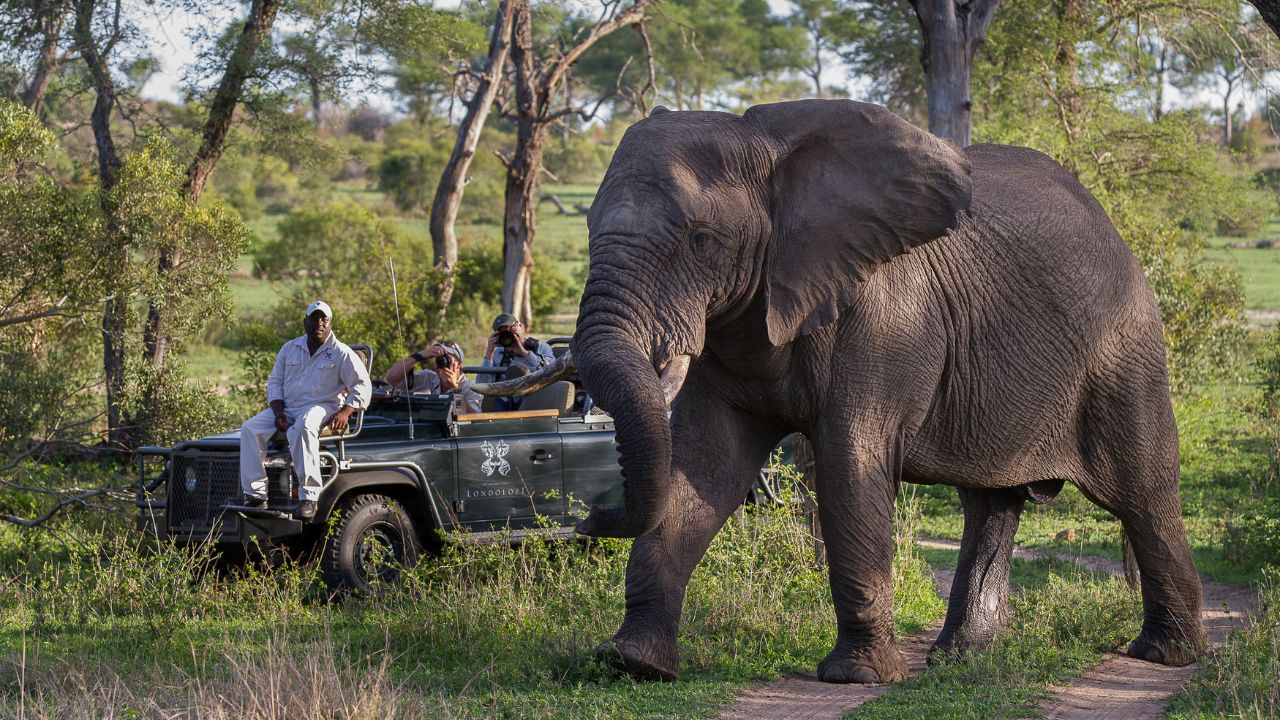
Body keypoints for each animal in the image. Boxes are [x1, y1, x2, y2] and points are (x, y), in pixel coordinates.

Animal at [476, 98, 1206, 684]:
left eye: (702, 240)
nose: (588, 517)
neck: (768, 146)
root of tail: (1110, 221)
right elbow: (703, 467)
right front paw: (633, 664)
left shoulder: (883, 318)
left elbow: (850, 464)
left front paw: (856, 678)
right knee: (991, 503)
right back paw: (959, 659)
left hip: (1124, 345)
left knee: (1143, 491)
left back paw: (1166, 656)